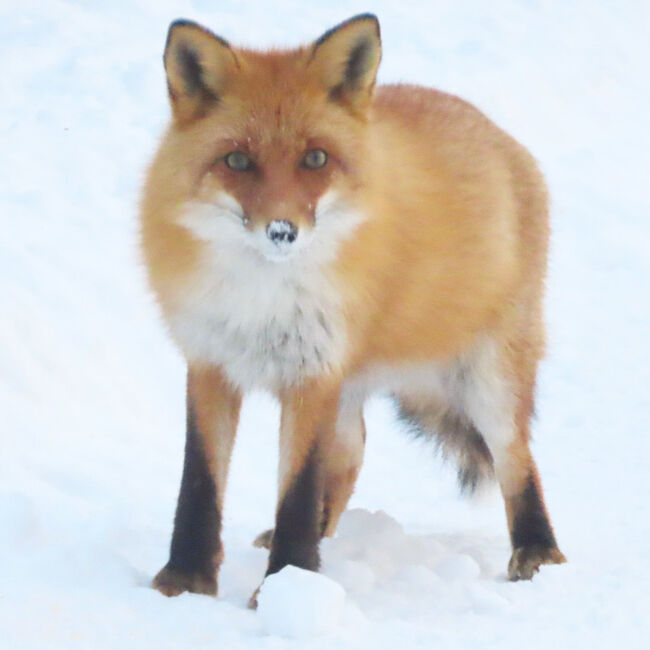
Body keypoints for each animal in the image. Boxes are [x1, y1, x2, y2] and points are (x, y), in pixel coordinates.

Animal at [140, 12, 560, 600]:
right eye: (237, 160)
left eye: (315, 158)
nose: (282, 231)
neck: (261, 298)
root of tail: (501, 136)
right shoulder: (211, 362)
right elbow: (199, 482)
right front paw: (185, 582)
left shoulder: (313, 372)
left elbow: (296, 489)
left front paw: (283, 586)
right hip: (351, 390)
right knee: (353, 453)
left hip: (488, 382)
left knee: (517, 459)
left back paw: (538, 553)